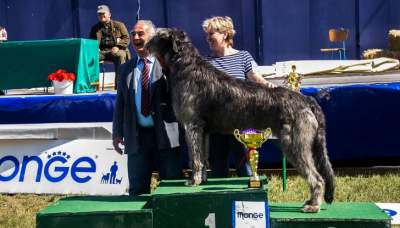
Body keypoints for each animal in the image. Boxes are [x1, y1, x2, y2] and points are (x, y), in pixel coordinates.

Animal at [145, 28, 336, 212]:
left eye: (158, 35)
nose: (144, 45)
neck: (187, 66)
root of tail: (307, 100)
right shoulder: (203, 131)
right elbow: (203, 155)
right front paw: (203, 179)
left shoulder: (192, 126)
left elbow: (195, 157)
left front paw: (193, 180)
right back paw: (311, 201)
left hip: (294, 143)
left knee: (317, 178)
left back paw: (314, 205)